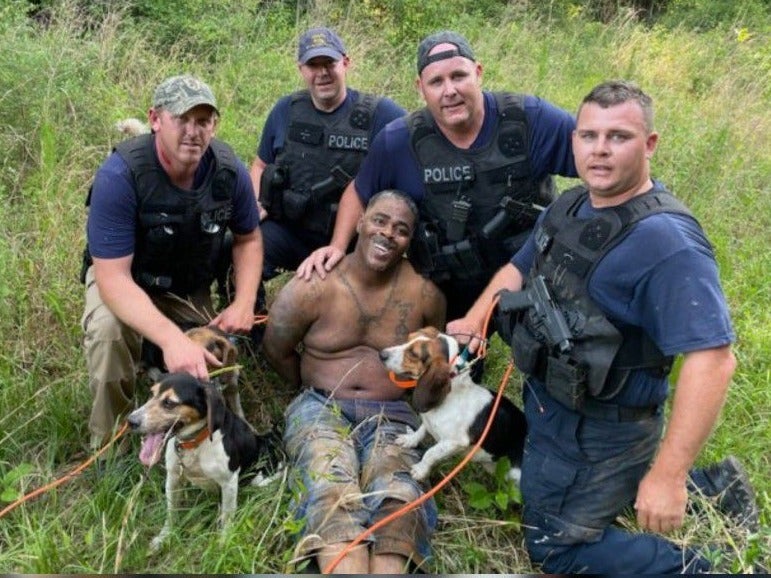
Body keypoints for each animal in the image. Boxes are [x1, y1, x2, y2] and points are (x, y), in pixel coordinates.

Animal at [126, 368, 284, 548]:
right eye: (152, 394)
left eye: (169, 403)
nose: (130, 421)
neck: (194, 443)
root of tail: (266, 439)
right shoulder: (173, 478)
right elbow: (171, 512)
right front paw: (164, 536)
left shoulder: (229, 482)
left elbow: (227, 516)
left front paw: (224, 541)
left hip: (259, 477)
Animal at [378, 326, 528, 484]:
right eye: (408, 338)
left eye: (414, 354)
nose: (381, 354)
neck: (451, 395)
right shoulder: (429, 419)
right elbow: (421, 430)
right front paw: (410, 440)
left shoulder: (454, 442)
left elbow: (430, 453)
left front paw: (420, 470)